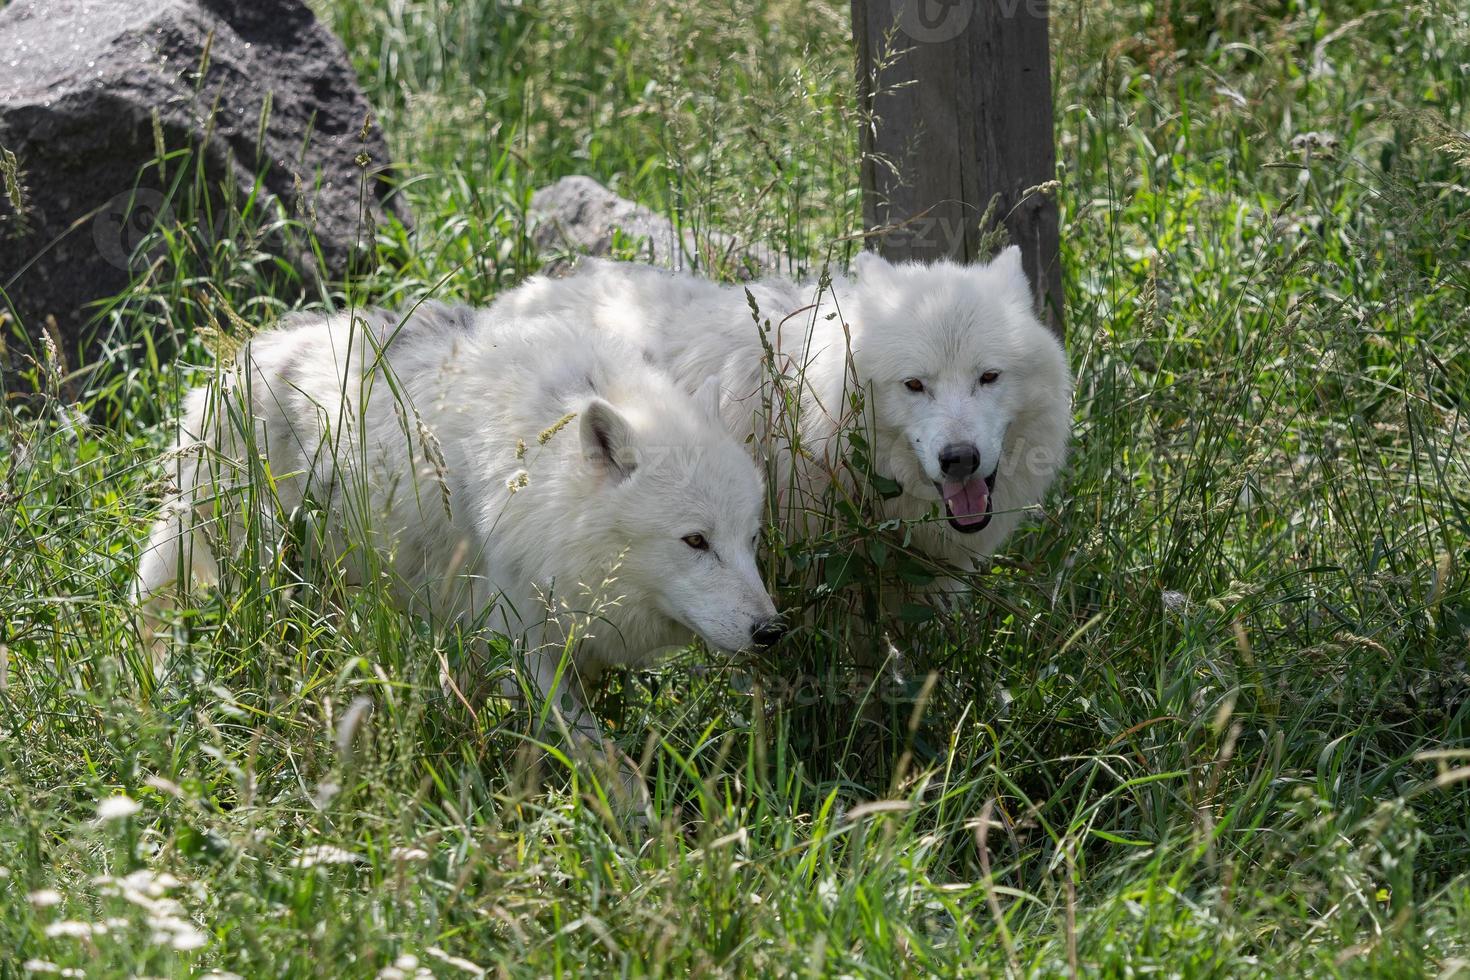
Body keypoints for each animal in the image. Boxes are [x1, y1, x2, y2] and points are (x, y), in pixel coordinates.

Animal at [132, 302, 787, 731]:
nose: (772, 632)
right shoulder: (519, 641)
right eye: (695, 541)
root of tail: (236, 360)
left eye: (750, 539)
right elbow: (605, 760)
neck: (543, 490)